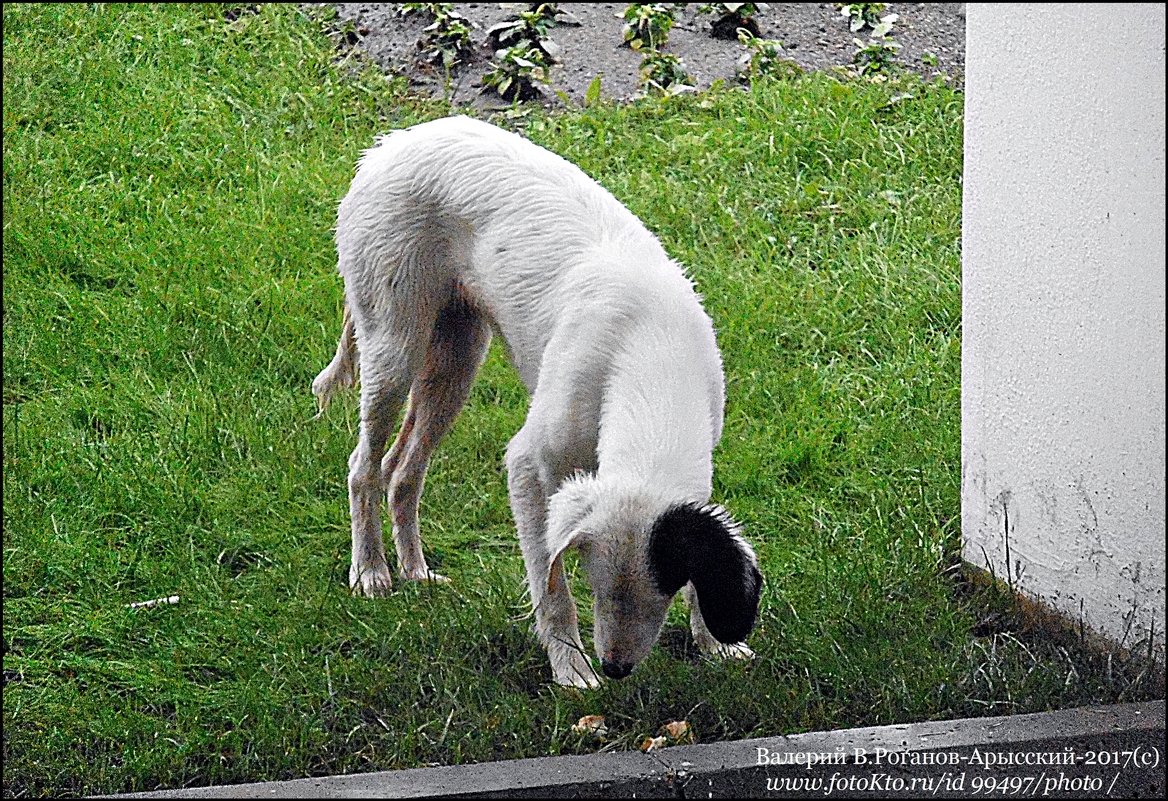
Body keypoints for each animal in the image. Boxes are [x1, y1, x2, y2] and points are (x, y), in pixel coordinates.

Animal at [315, 116, 761, 686]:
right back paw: (371, 570)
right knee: (363, 466)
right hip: (394, 345)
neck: (651, 352)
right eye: (595, 582)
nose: (615, 668)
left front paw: (715, 645)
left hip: (456, 361)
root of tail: (386, 147)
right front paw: (571, 670)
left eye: (664, 586)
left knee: (402, 471)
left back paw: (414, 570)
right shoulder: (529, 466)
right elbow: (550, 588)